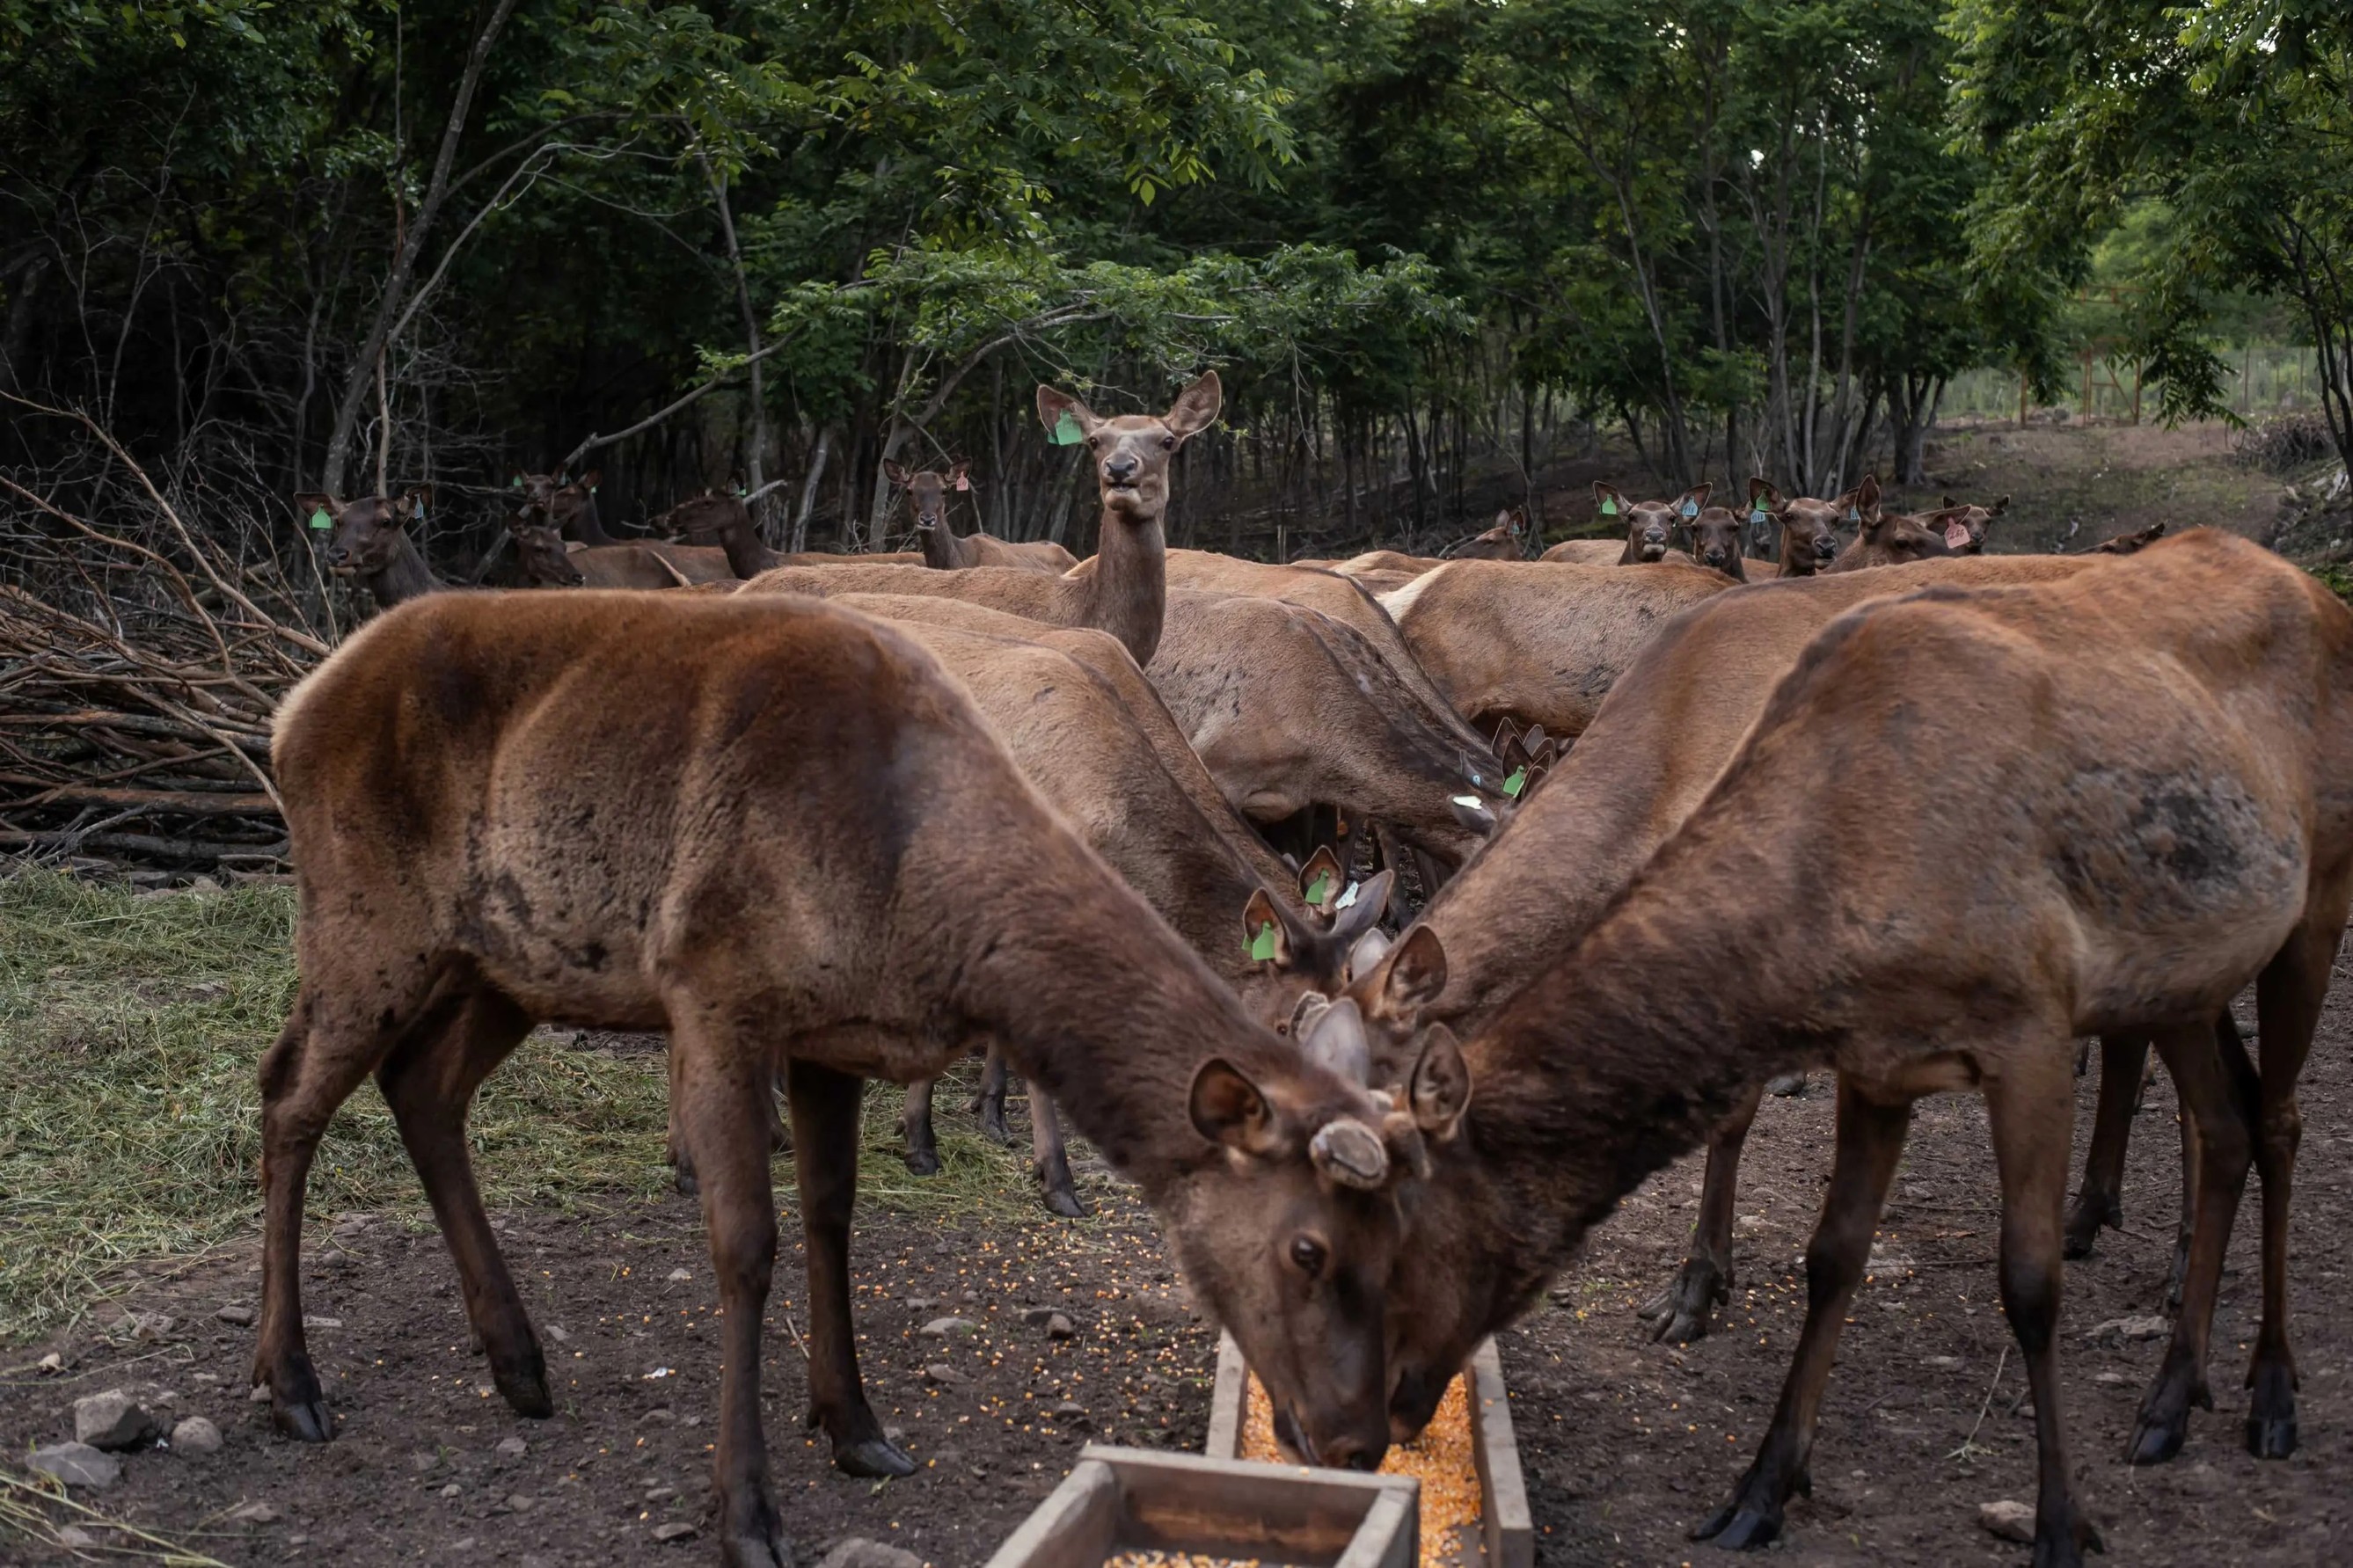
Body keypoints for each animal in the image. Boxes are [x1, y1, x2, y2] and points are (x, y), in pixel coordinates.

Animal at [262, 592, 1430, 1568]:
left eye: (1394, 1245)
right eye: (1306, 1248)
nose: (1358, 1437)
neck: (910, 888)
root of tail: (292, 705)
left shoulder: (827, 1030)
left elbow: (832, 1216)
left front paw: (857, 1427)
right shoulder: (716, 987)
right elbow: (747, 1242)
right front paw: (746, 1514)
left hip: (506, 958)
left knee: (424, 1088)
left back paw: (517, 1362)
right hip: (364, 918)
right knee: (287, 1094)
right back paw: (292, 1386)